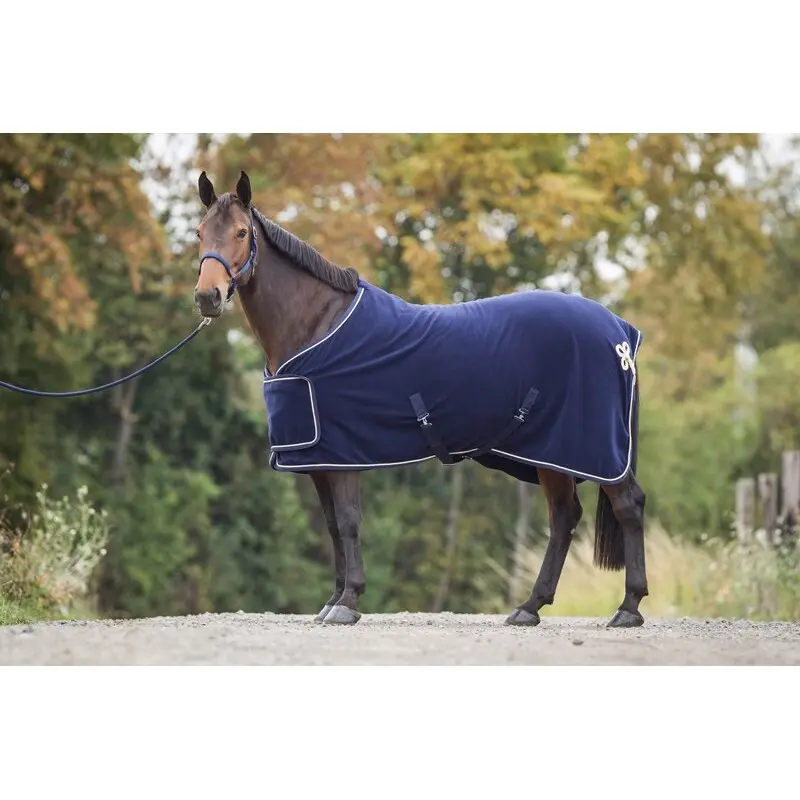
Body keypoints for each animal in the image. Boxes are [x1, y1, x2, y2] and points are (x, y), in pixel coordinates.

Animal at [193, 170, 649, 628]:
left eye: (241, 232)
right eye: (199, 233)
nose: (206, 296)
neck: (317, 325)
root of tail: (619, 330)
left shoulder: (343, 456)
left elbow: (349, 522)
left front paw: (348, 602)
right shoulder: (319, 459)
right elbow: (333, 526)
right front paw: (332, 599)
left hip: (593, 449)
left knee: (627, 506)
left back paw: (628, 607)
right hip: (553, 452)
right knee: (563, 517)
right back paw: (529, 607)